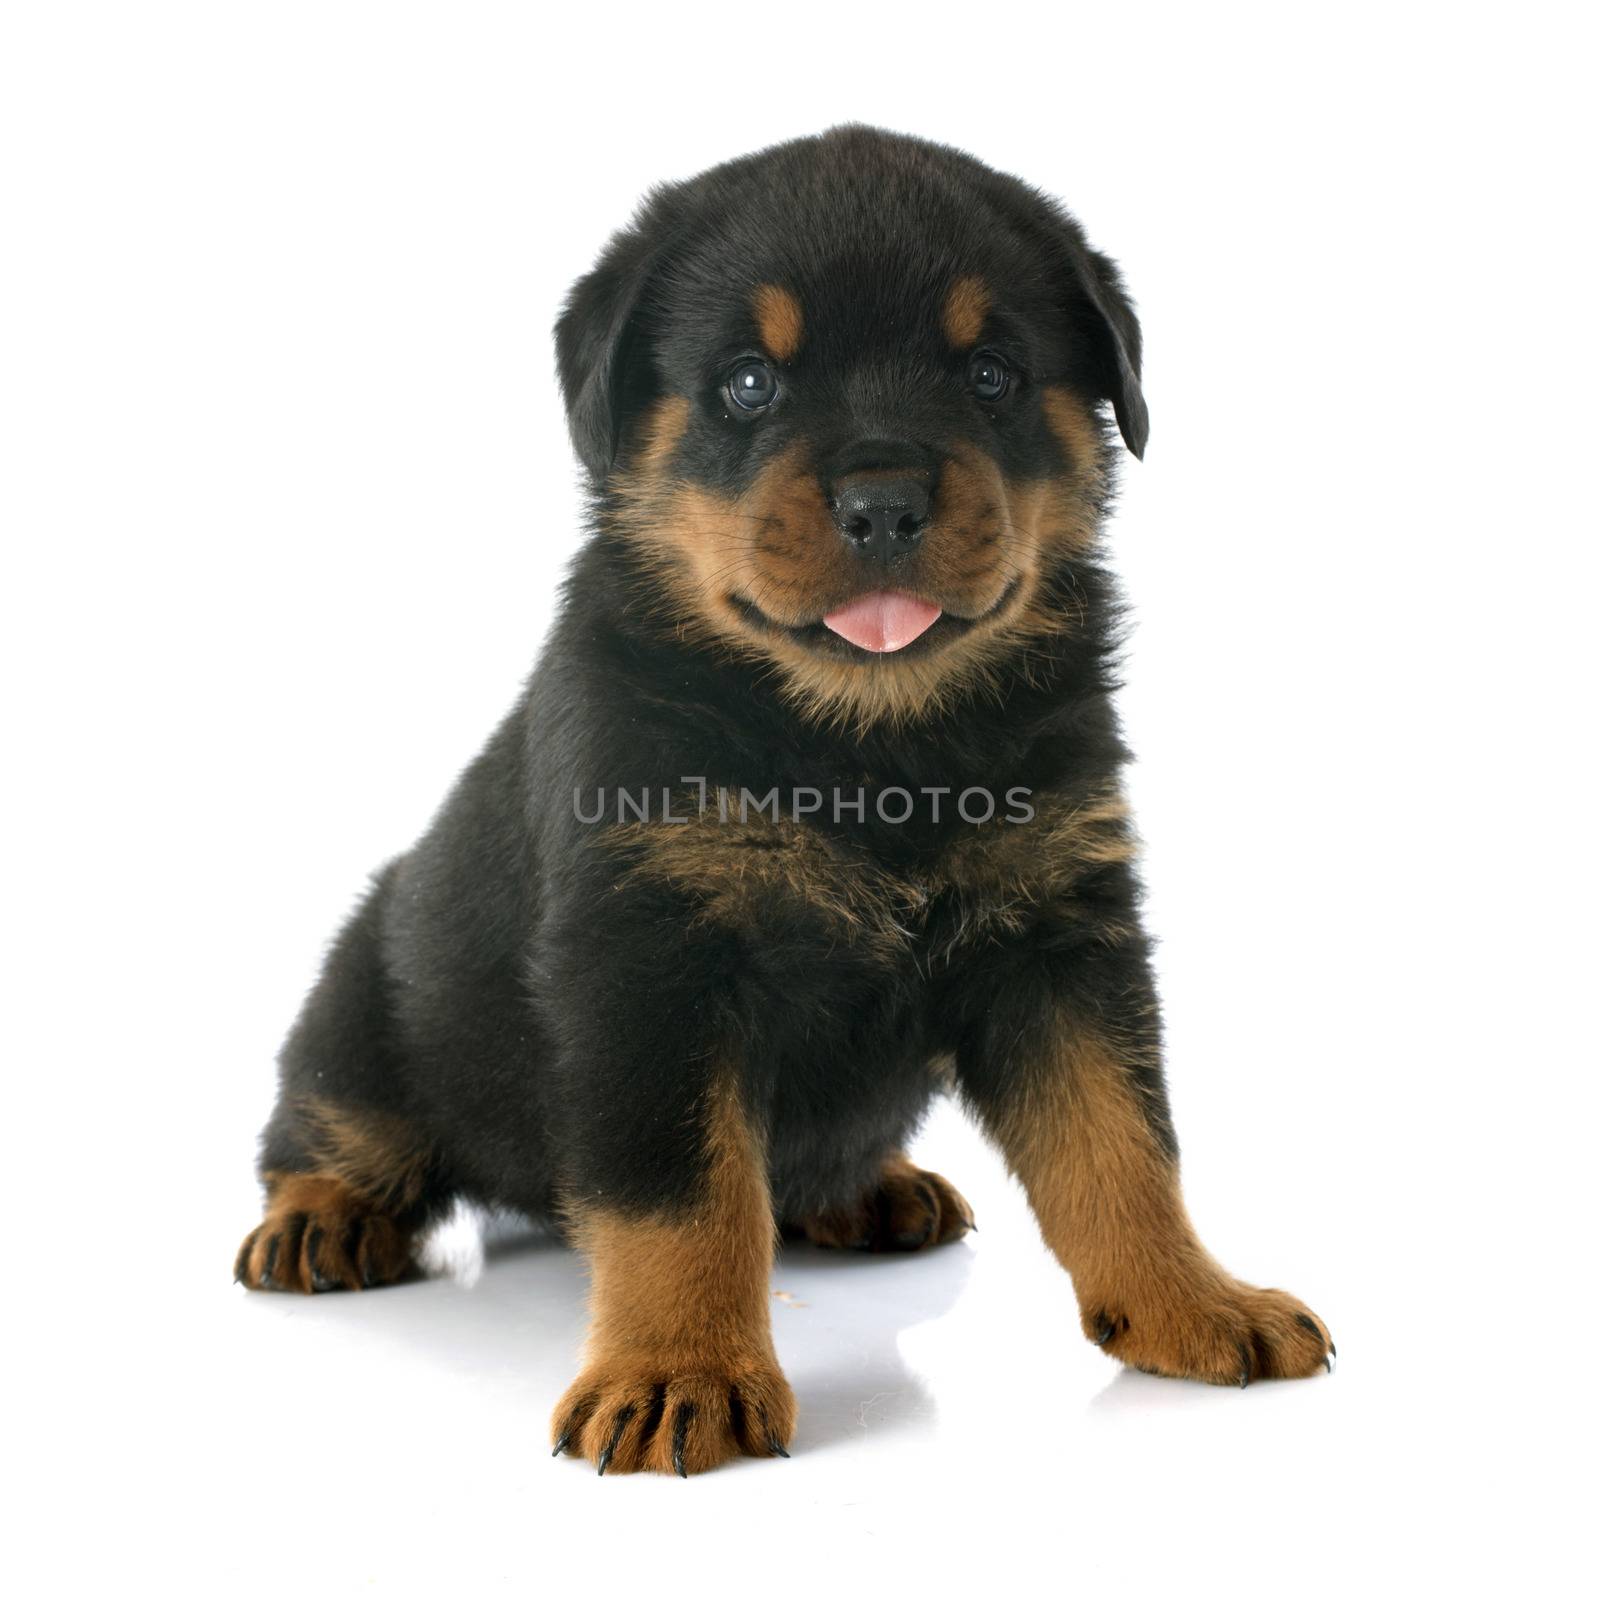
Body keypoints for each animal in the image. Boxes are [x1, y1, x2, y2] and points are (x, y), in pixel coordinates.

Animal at [236, 121, 1331, 1472]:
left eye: (991, 375)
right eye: (750, 383)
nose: (883, 500)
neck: (871, 751)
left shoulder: (1059, 938)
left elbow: (1120, 1143)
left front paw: (1191, 1300)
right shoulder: (650, 962)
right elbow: (685, 1200)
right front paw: (677, 1370)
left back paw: (872, 1189)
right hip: (366, 1001)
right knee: (325, 1125)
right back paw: (320, 1218)